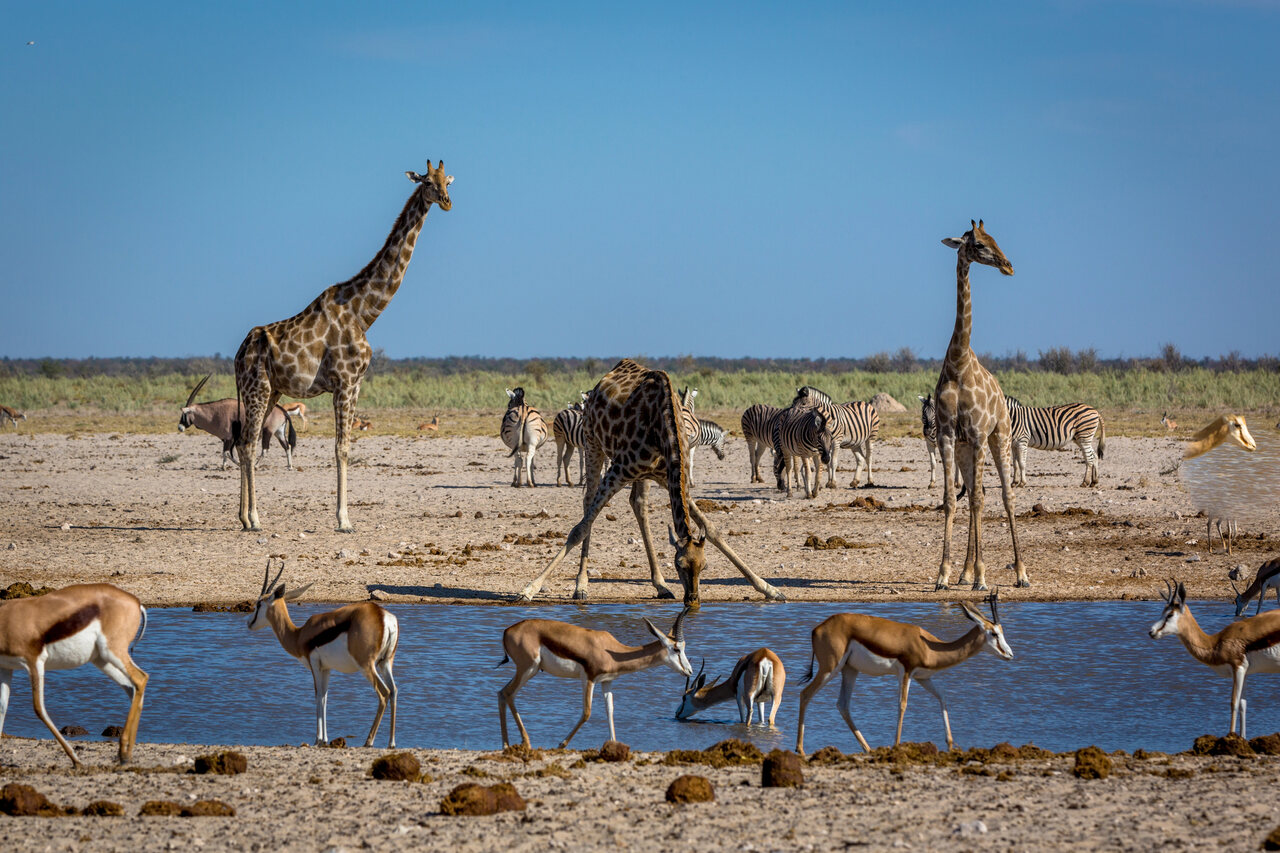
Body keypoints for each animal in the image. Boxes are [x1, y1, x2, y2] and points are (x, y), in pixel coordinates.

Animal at [236, 160, 455, 527]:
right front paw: (344, 520)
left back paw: (243, 517)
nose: (447, 201)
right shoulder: (345, 382)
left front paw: (344, 517)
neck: (363, 312)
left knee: (241, 442)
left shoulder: (355, 384)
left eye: (447, 181)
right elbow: (341, 448)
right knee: (250, 444)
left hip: (271, 391)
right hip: (257, 389)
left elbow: (345, 447)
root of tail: (237, 356)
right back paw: (254, 519)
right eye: (427, 181)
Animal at [514, 356, 783, 604]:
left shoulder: (669, 475)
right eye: (679, 565)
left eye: (704, 566)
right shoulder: (619, 470)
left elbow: (713, 530)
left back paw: (661, 585)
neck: (663, 429)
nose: (692, 599)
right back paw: (581, 586)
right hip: (593, 444)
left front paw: (768, 588)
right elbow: (579, 528)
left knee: (638, 505)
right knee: (588, 503)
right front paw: (529, 589)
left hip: (642, 474)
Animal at [931, 219, 1029, 591]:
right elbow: (950, 500)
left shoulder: (976, 434)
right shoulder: (947, 435)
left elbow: (976, 501)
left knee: (1003, 495)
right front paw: (944, 574)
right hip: (966, 448)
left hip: (999, 437)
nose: (1008, 265)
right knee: (979, 492)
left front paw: (984, 577)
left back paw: (1020, 573)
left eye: (993, 238)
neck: (958, 364)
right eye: (979, 244)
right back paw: (965, 572)